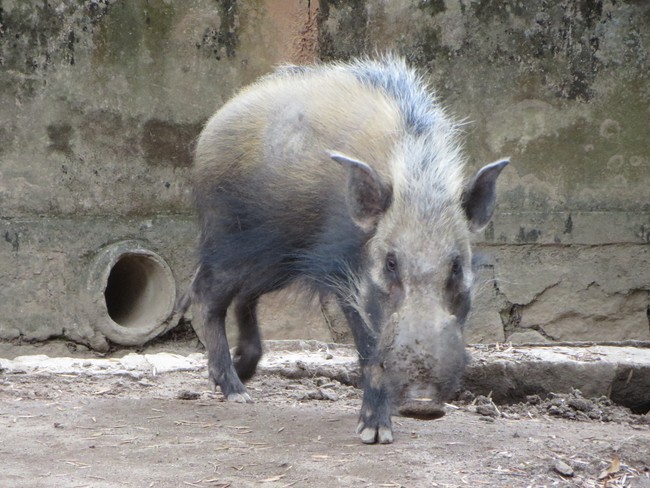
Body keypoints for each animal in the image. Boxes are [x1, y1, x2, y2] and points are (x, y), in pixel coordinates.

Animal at [189, 55, 508, 444]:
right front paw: (374, 434)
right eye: (390, 263)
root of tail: (216, 119)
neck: (417, 182)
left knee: (244, 295)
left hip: (279, 260)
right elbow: (369, 350)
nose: (423, 404)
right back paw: (237, 393)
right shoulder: (346, 276)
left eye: (457, 266)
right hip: (229, 236)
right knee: (205, 294)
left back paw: (244, 373)